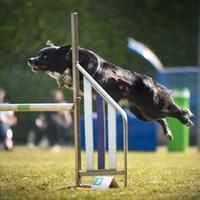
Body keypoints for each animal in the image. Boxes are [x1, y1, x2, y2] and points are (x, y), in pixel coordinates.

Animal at [28, 40, 194, 141]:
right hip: (142, 113)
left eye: (45, 55)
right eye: (38, 54)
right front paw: (62, 79)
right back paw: (168, 133)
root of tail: (149, 81)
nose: (30, 60)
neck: (70, 59)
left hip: (151, 107)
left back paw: (186, 120)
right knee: (162, 119)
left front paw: (65, 76)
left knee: (172, 111)